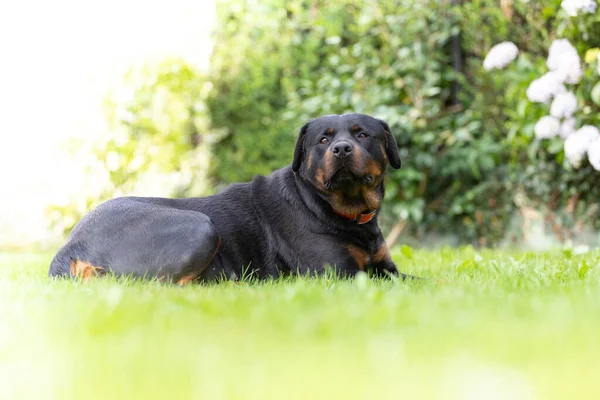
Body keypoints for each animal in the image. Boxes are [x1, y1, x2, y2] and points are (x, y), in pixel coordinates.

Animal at [49, 112, 410, 282]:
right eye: (323, 140)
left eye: (363, 134)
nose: (342, 148)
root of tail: (70, 246)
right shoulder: (339, 273)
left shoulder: (385, 266)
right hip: (200, 227)